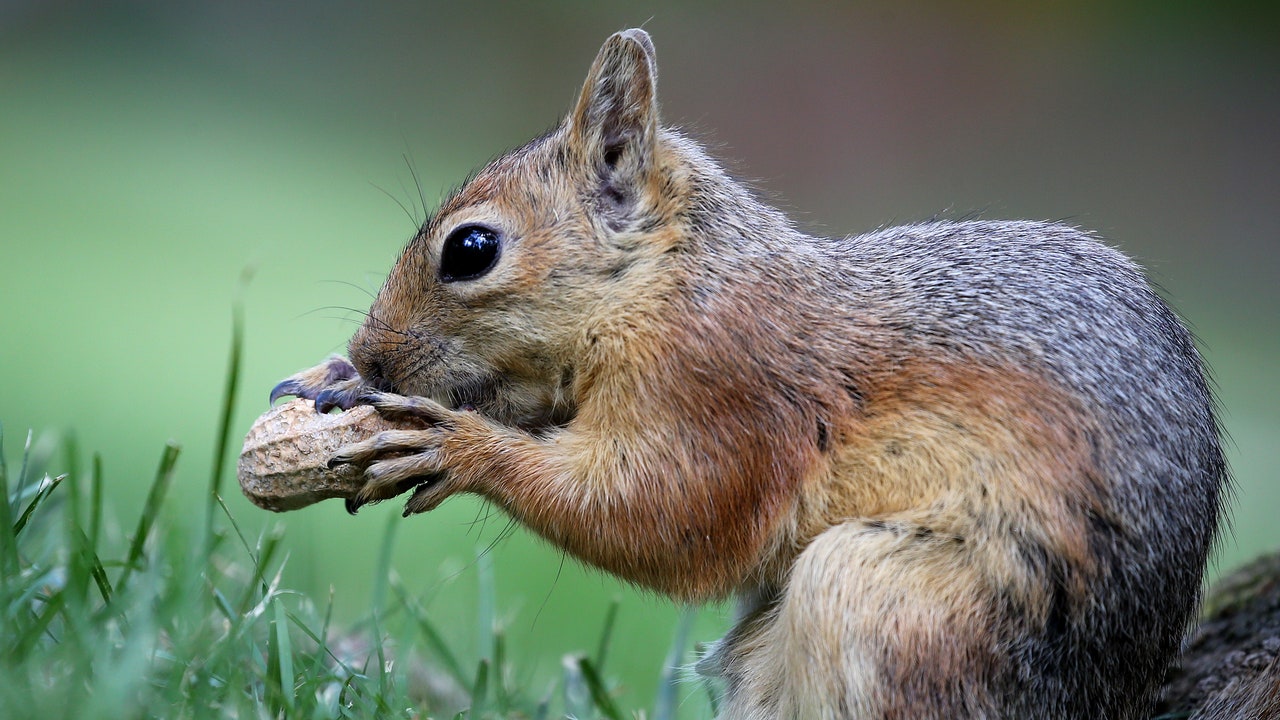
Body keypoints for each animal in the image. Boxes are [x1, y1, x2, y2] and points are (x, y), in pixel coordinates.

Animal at [272, 29, 1228, 717]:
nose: (372, 353)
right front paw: (337, 380)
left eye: (470, 250)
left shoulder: (723, 388)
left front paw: (457, 447)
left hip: (895, 600)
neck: (669, 279)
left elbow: (670, 515)